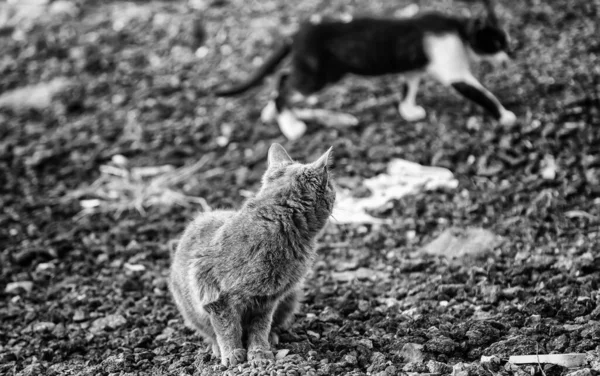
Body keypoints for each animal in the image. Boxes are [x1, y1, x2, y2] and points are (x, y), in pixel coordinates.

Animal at [170, 144, 338, 368]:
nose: (336, 192)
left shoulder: (267, 299)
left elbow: (259, 328)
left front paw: (259, 354)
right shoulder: (212, 290)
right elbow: (227, 328)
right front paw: (232, 355)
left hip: (291, 296)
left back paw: (273, 338)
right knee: (209, 331)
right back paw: (216, 347)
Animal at [214, 0, 516, 140]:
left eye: (506, 42)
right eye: (497, 43)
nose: (509, 57)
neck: (459, 30)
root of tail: (297, 33)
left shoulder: (414, 69)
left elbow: (409, 87)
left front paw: (408, 111)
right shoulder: (454, 71)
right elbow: (482, 93)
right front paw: (506, 116)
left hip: (314, 73)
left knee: (284, 77)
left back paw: (273, 114)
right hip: (319, 76)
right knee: (285, 86)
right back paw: (290, 126)